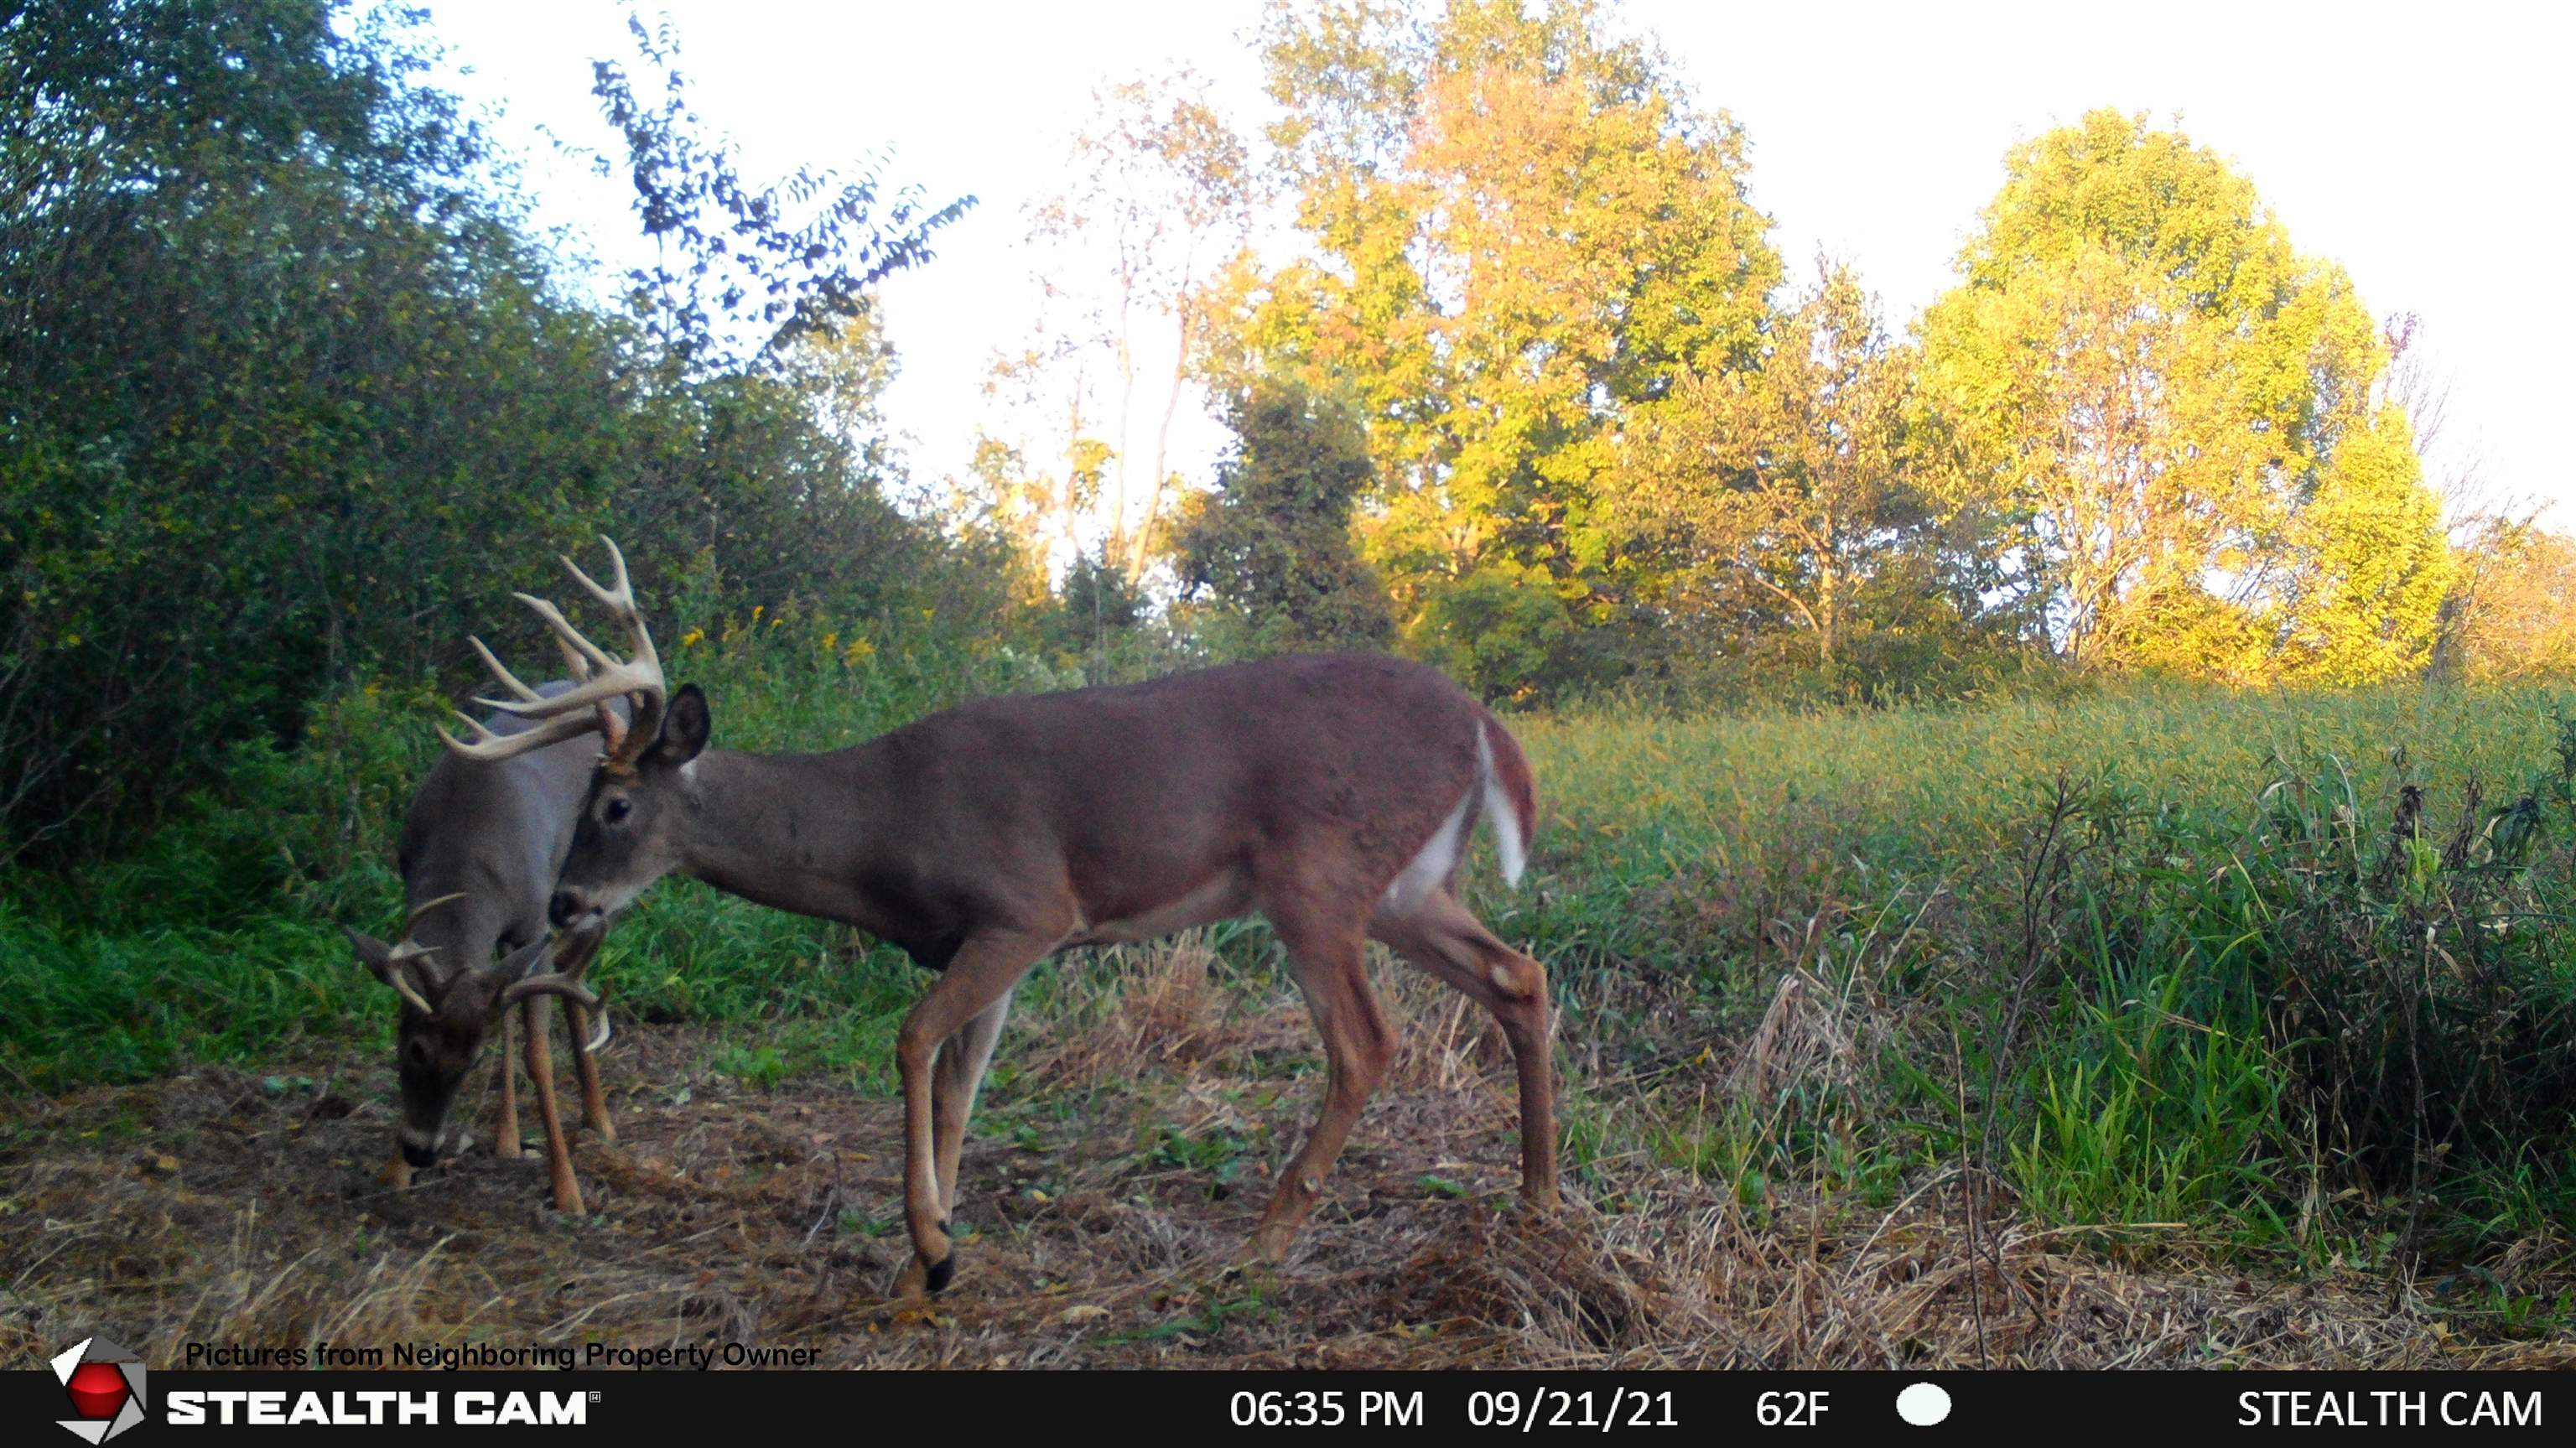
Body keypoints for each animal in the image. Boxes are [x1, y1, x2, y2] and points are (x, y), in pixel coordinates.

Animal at [346, 676, 628, 1213]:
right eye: (414, 1049)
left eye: (471, 1061)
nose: (422, 1152)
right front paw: (393, 1173)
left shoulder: (534, 919)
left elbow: (538, 1054)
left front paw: (567, 1190)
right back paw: (508, 1139)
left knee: (575, 966)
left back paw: (599, 1120)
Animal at [447, 537, 1559, 1296]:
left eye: (613, 805)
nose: (565, 900)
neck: (882, 827)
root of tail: (1484, 722)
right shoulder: (992, 943)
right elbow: (957, 1087)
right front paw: (926, 1260)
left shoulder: (1026, 908)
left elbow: (911, 1042)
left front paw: (931, 1247)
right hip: (1408, 886)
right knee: (1521, 975)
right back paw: (1538, 1198)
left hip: (1316, 875)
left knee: (1368, 1043)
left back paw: (1265, 1241)